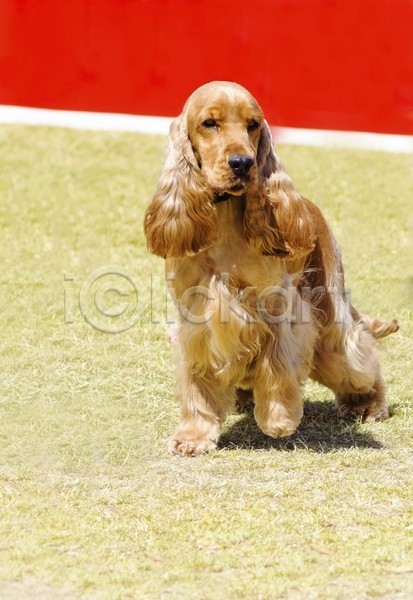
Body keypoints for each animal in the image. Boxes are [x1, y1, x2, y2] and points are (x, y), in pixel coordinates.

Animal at [143, 79, 398, 454]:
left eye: (253, 124)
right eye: (209, 123)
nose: (242, 163)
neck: (224, 217)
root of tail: (310, 208)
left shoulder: (277, 307)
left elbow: (277, 367)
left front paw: (279, 419)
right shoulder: (194, 316)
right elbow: (197, 380)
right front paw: (195, 435)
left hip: (330, 318)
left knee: (359, 352)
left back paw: (367, 404)